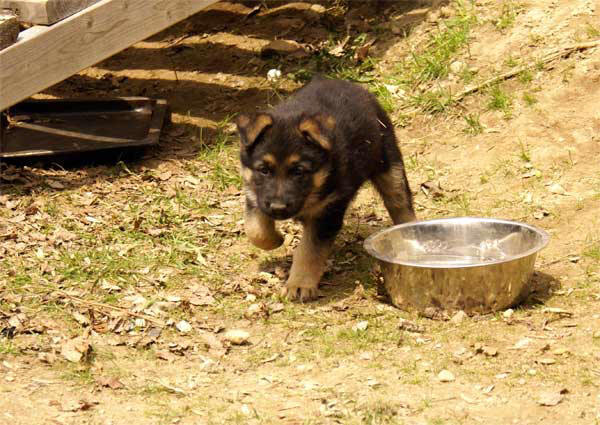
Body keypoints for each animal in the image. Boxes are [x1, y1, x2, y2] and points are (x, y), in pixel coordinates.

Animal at [237, 77, 414, 302]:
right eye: (264, 170)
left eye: (298, 171)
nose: (278, 209)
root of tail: (348, 84)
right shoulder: (255, 196)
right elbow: (255, 230)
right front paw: (276, 239)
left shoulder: (327, 212)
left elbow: (310, 251)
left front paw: (299, 284)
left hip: (389, 165)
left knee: (400, 203)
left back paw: (410, 235)